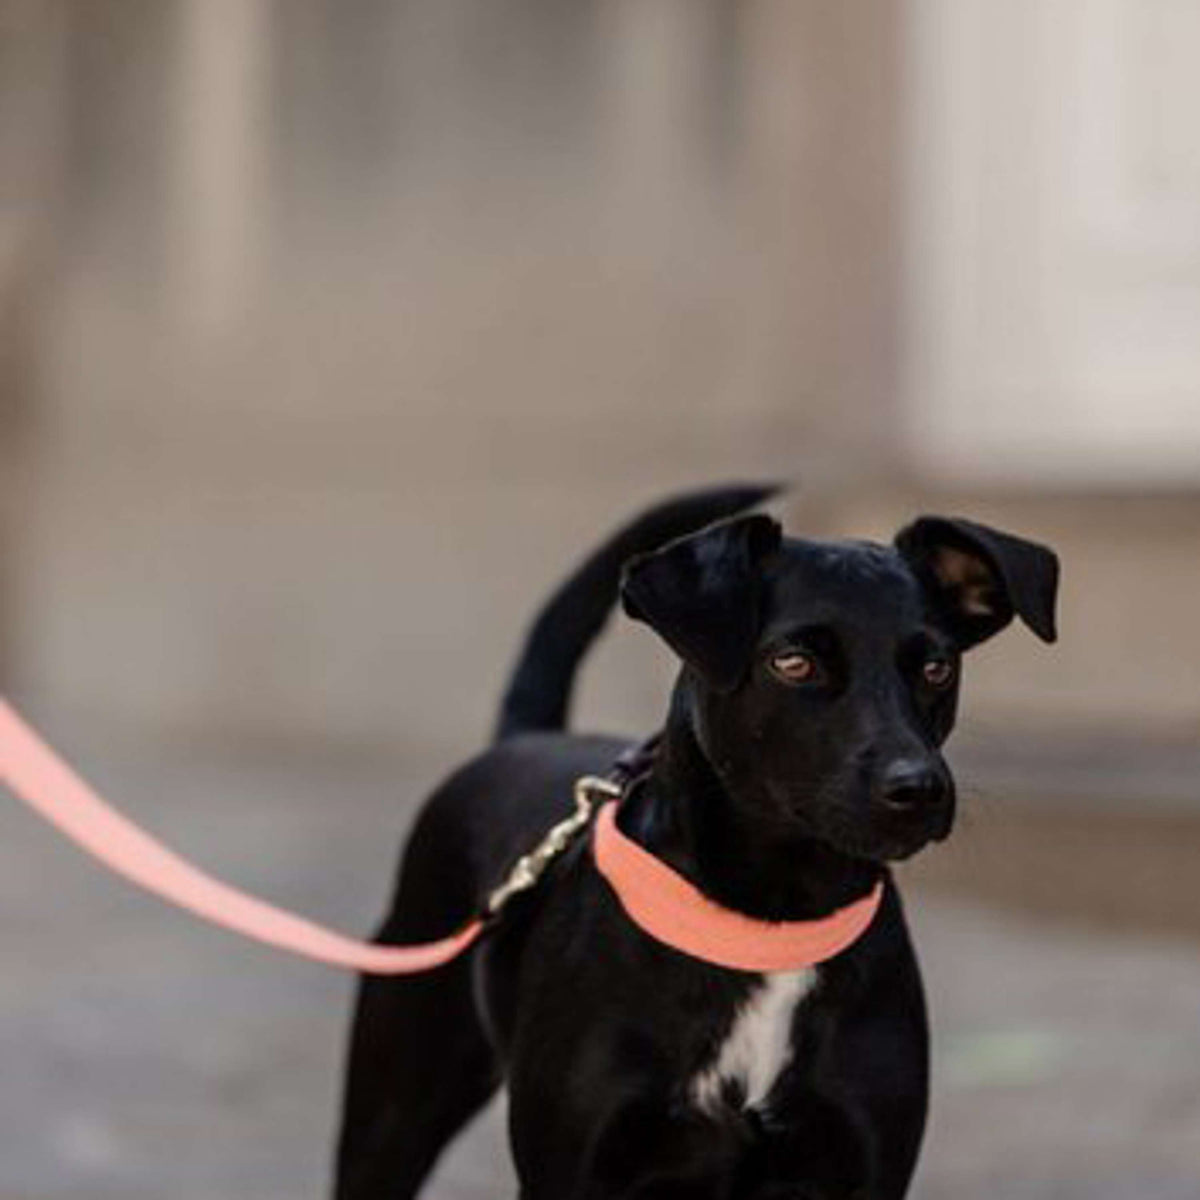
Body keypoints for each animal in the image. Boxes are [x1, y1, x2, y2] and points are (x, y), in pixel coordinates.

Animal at [333, 482, 1056, 1195]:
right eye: (793, 663)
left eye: (937, 667)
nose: (918, 788)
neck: (775, 921)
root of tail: (524, 738)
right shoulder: (571, 1168)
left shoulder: (867, 1167)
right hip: (391, 1115)